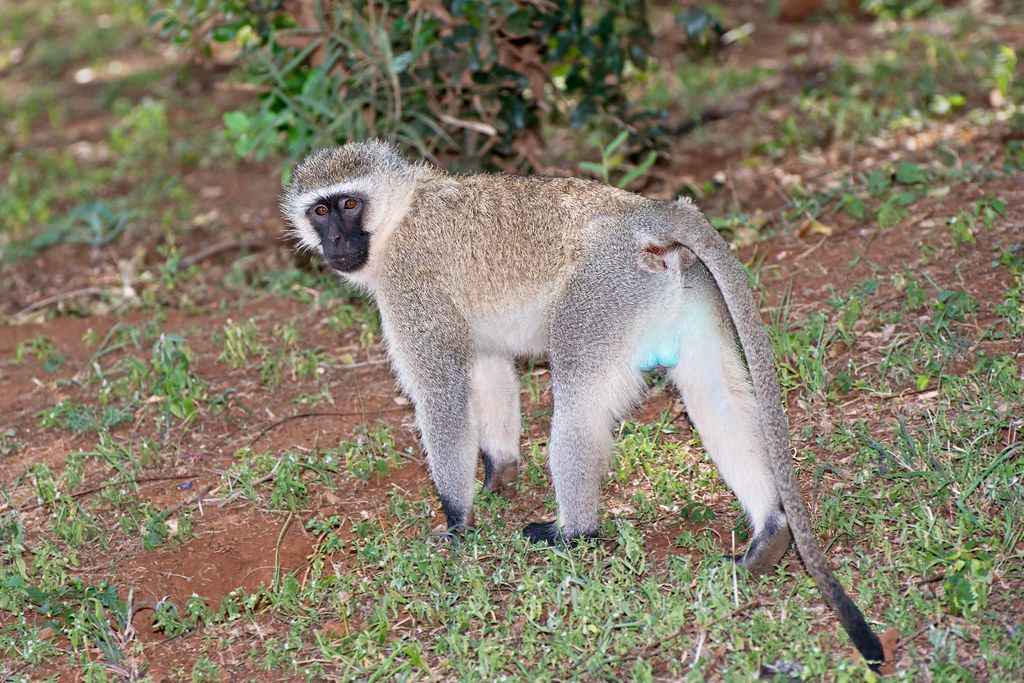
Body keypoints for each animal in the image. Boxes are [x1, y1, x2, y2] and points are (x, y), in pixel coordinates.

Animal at [282, 140, 888, 667]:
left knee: (578, 407)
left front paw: (456, 520)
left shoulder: (412, 288)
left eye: (349, 204)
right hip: (680, 289)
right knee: (716, 397)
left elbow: (442, 393)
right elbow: (488, 366)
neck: (398, 215)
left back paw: (574, 533)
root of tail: (640, 211)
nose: (336, 241)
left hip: (599, 296)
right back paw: (769, 534)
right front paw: (499, 475)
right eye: (321, 210)